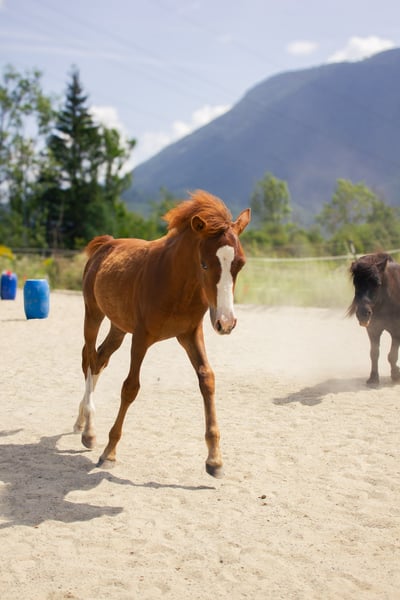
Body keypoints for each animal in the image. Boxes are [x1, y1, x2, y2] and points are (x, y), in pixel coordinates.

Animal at [74, 190, 251, 477]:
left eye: (240, 264)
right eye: (204, 264)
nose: (225, 322)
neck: (175, 282)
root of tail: (106, 243)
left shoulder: (190, 334)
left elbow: (207, 379)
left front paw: (215, 460)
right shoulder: (141, 337)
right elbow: (130, 387)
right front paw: (109, 452)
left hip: (118, 326)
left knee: (100, 359)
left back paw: (82, 422)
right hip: (93, 313)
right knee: (89, 357)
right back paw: (88, 430)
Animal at [348, 252, 400, 385]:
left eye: (377, 283)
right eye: (356, 283)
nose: (363, 314)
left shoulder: (396, 332)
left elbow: (392, 356)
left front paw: (396, 375)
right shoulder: (373, 330)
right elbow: (374, 353)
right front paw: (373, 378)